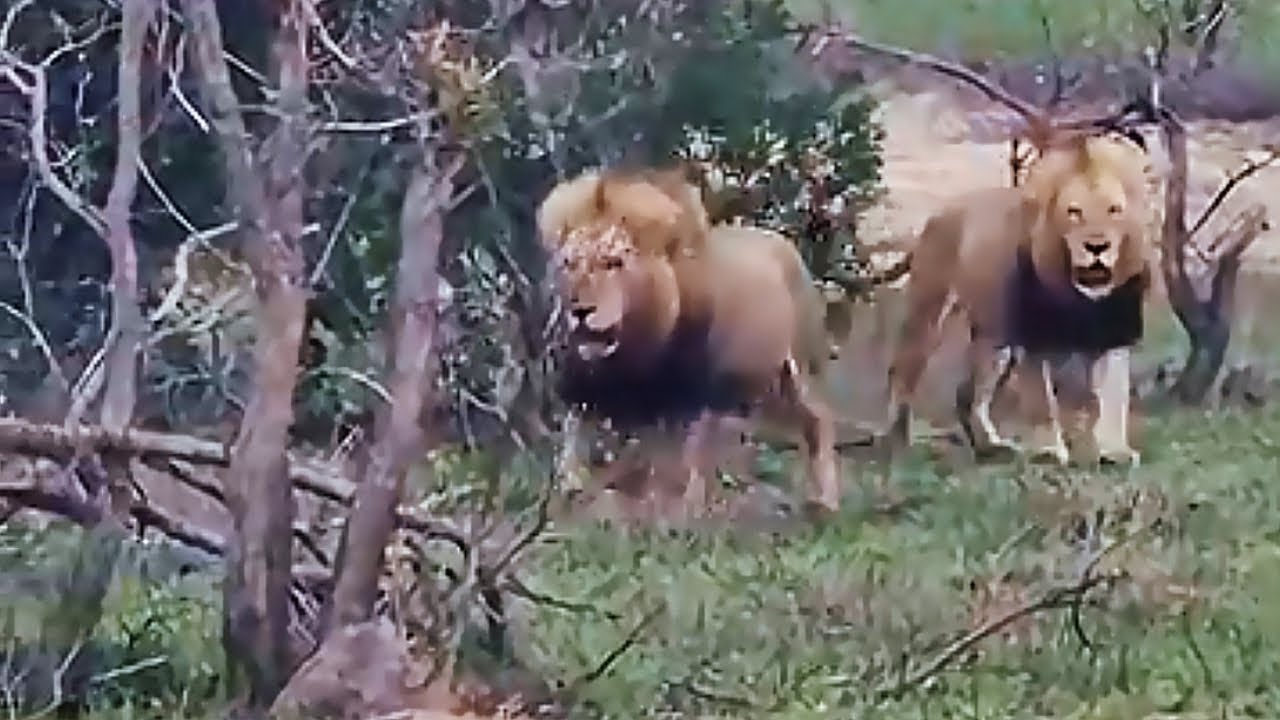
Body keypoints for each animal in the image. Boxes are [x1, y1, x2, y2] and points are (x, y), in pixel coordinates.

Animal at [536, 165, 842, 516]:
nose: (580, 310)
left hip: (802, 368)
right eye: (569, 264)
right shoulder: (588, 394)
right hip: (765, 387)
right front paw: (569, 495)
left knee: (820, 421)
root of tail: (785, 244)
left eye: (614, 263)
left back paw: (827, 503)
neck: (633, 352)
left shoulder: (694, 398)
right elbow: (574, 445)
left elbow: (685, 463)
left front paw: (683, 513)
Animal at [884, 132, 1154, 466]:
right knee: (901, 372)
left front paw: (1115, 452)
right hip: (929, 313)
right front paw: (1049, 452)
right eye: (1074, 212)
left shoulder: (1114, 332)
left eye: (1114, 210)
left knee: (968, 394)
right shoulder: (1033, 336)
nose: (1097, 246)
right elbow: (1043, 401)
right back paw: (897, 442)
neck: (1081, 292)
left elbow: (1115, 397)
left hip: (994, 336)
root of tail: (939, 214)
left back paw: (991, 447)